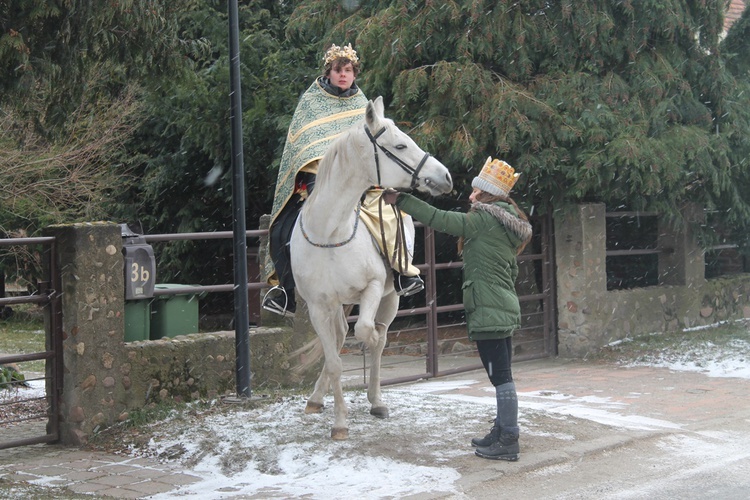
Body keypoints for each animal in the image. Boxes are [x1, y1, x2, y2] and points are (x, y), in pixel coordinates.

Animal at [290, 95, 450, 440]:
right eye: (400, 145)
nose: (445, 176)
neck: (331, 234)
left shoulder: (373, 289)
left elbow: (366, 331)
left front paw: (371, 344)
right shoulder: (318, 307)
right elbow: (334, 360)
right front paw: (339, 423)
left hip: (391, 298)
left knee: (380, 335)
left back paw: (377, 401)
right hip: (337, 306)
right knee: (338, 340)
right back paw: (316, 399)